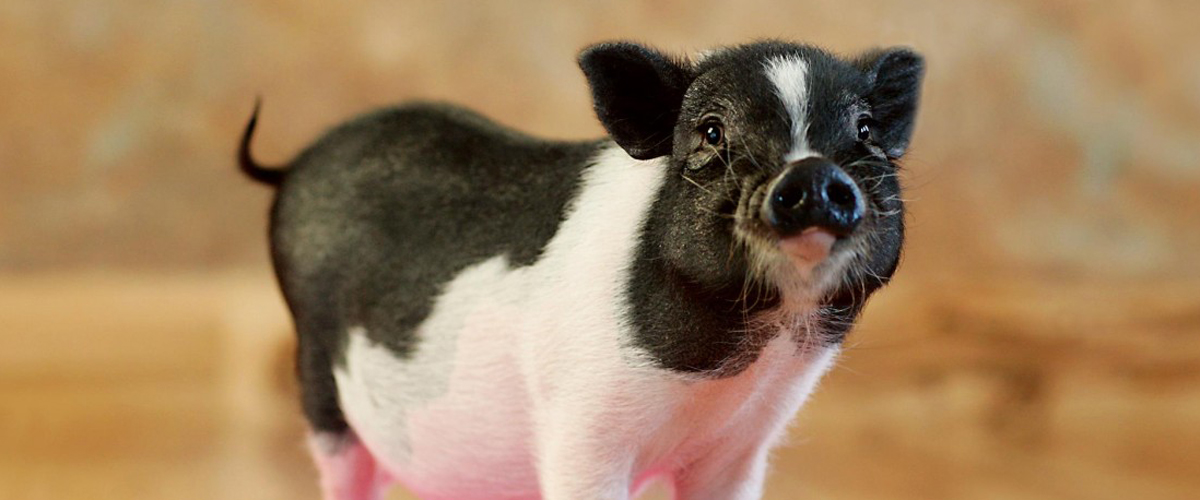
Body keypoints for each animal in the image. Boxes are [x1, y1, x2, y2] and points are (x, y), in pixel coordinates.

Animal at [238, 39, 921, 498]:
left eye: (865, 130)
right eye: (711, 131)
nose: (812, 173)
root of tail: (295, 163)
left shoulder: (740, 449)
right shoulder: (581, 430)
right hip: (317, 376)